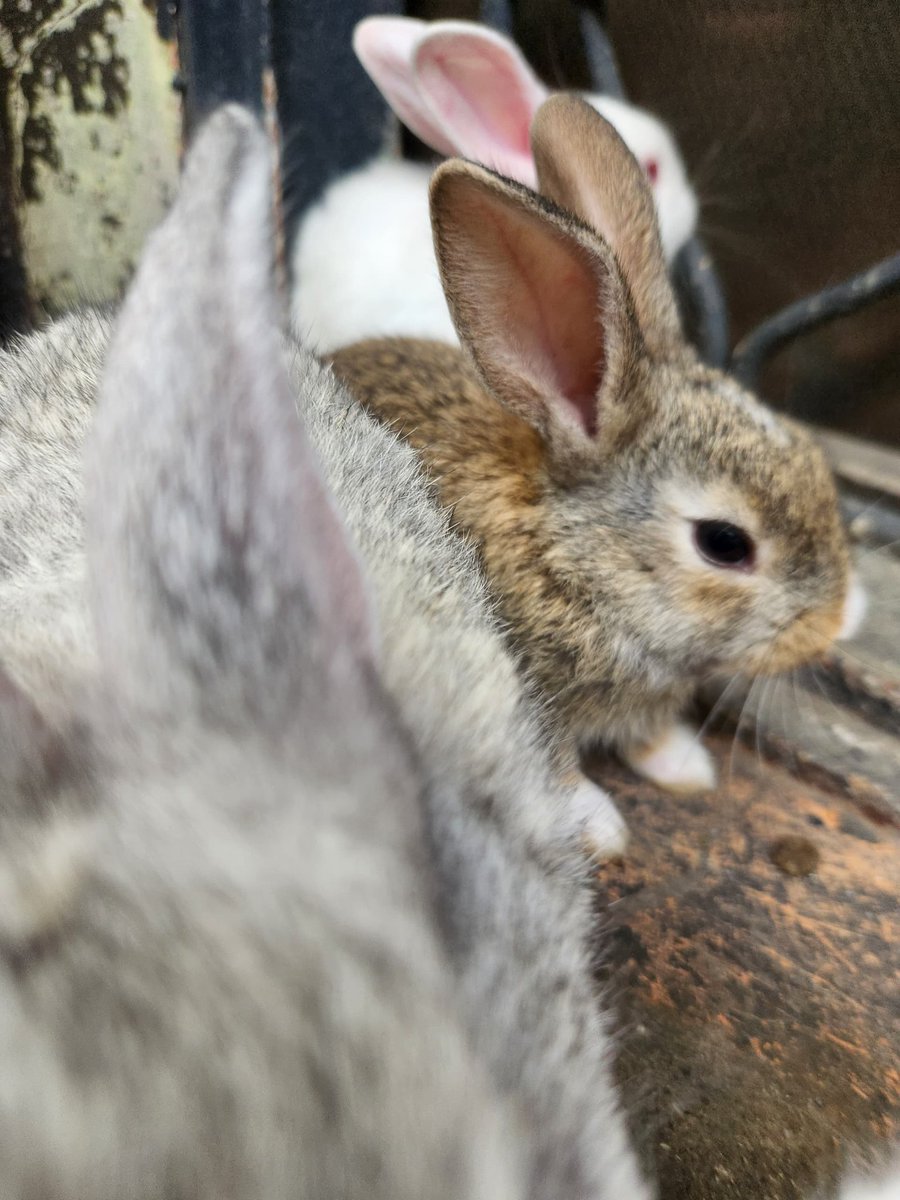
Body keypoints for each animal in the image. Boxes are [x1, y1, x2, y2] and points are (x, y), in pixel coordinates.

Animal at [331, 93, 866, 798]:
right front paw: (597, 815)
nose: (837, 620)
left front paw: (683, 766)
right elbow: (550, 767)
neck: (571, 560)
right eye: (725, 544)